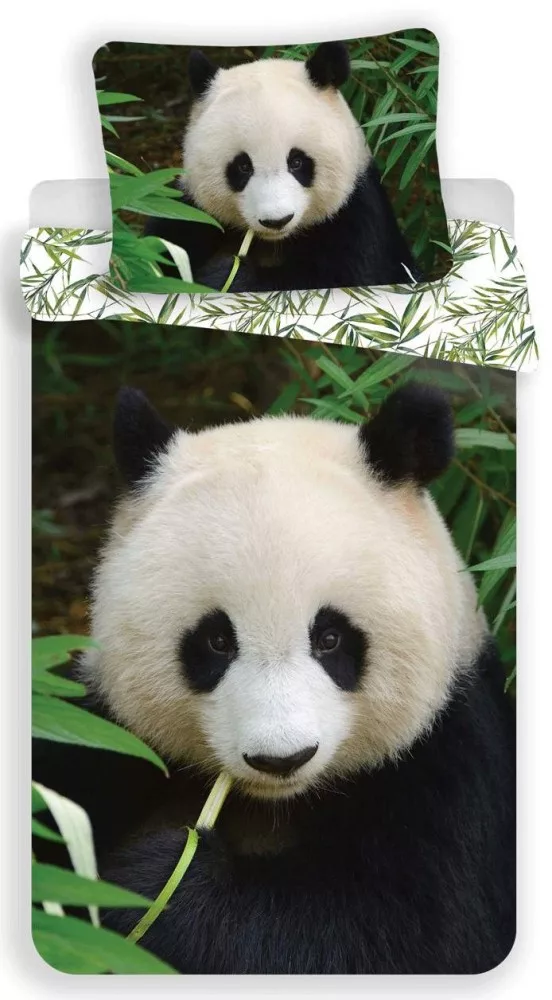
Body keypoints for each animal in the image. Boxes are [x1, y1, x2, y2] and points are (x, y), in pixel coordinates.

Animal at [33, 381, 515, 975]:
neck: (273, 802)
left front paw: (154, 883)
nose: (281, 759)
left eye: (330, 638)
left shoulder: (451, 762)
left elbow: (399, 934)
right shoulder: (104, 730)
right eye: (217, 641)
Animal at [145, 42, 423, 292]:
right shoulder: (189, 212)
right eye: (243, 166)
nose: (276, 220)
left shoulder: (356, 218)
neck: (275, 242)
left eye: (297, 162)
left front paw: (226, 275)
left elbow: (338, 279)